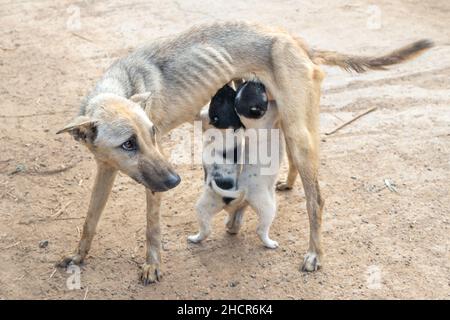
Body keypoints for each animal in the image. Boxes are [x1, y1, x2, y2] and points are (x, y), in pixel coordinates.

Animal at [189, 79, 282, 249]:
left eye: (220, 98)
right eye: (257, 88)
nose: (226, 84)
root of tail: (236, 193)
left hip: (233, 206)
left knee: (232, 220)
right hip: (256, 207)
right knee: (243, 221)